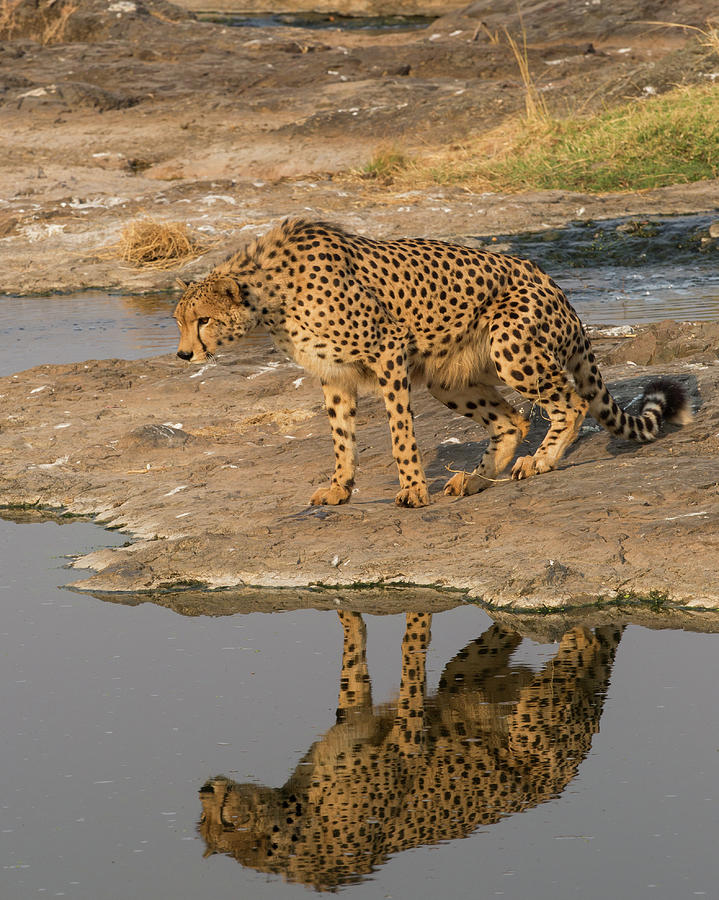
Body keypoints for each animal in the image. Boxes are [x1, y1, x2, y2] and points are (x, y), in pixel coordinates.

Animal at [176, 218, 692, 506]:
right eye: (179, 321)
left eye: (203, 320)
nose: (184, 353)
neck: (269, 293)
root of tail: (555, 285)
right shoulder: (334, 376)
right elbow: (341, 438)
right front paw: (341, 488)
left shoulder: (389, 351)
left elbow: (400, 431)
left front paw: (412, 489)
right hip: (448, 378)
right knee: (511, 421)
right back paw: (477, 479)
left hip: (510, 343)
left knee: (570, 401)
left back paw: (539, 462)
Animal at [198, 612, 624, 884]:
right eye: (204, 819)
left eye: (219, 817)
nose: (205, 788)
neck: (294, 821)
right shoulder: (357, 719)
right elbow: (355, 652)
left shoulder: (402, 747)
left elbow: (411, 662)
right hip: (463, 679)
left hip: (531, 725)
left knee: (585, 639)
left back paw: (563, 627)